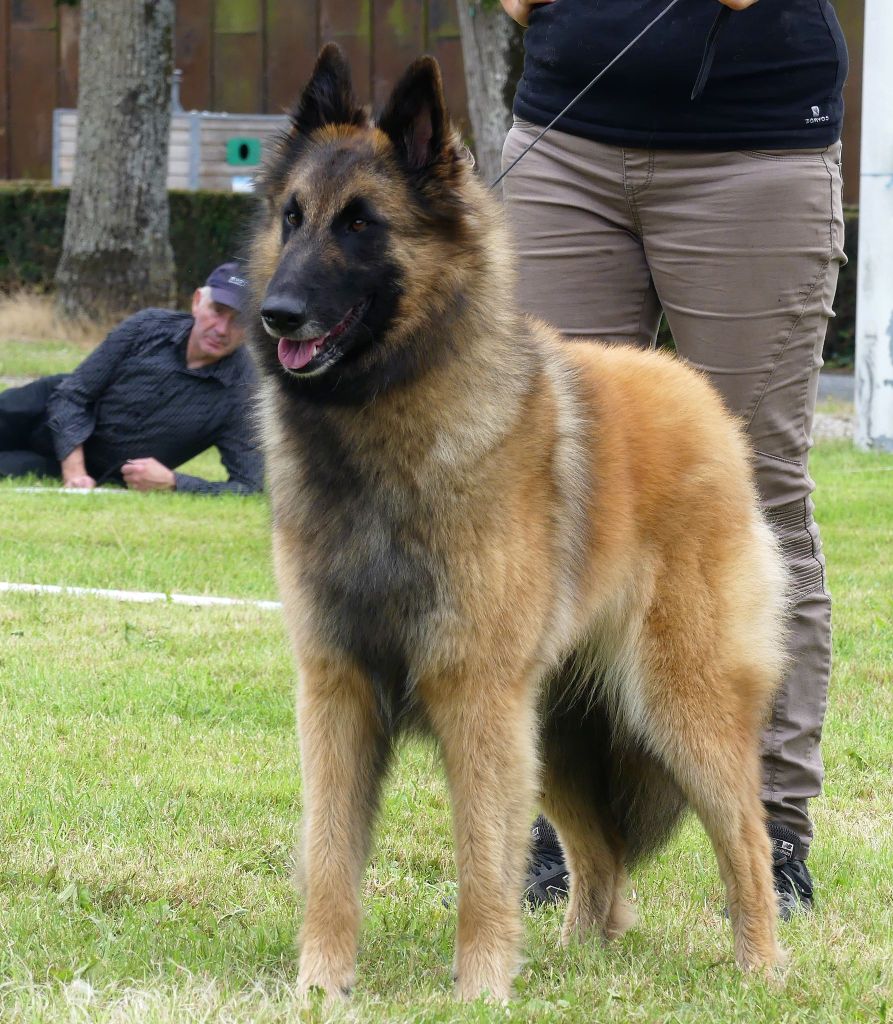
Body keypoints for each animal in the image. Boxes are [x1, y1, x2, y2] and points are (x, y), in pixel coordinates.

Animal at [245, 44, 786, 1003]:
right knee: (600, 858)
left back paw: (758, 967)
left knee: (745, 840)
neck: (382, 428)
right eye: (292, 217)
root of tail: (698, 395)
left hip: (680, 704)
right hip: (562, 729)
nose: (277, 315)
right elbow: (331, 854)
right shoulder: (337, 689)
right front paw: (319, 986)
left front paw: (480, 989)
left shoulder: (475, 694)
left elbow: (481, 862)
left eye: (361, 225)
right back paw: (580, 955)